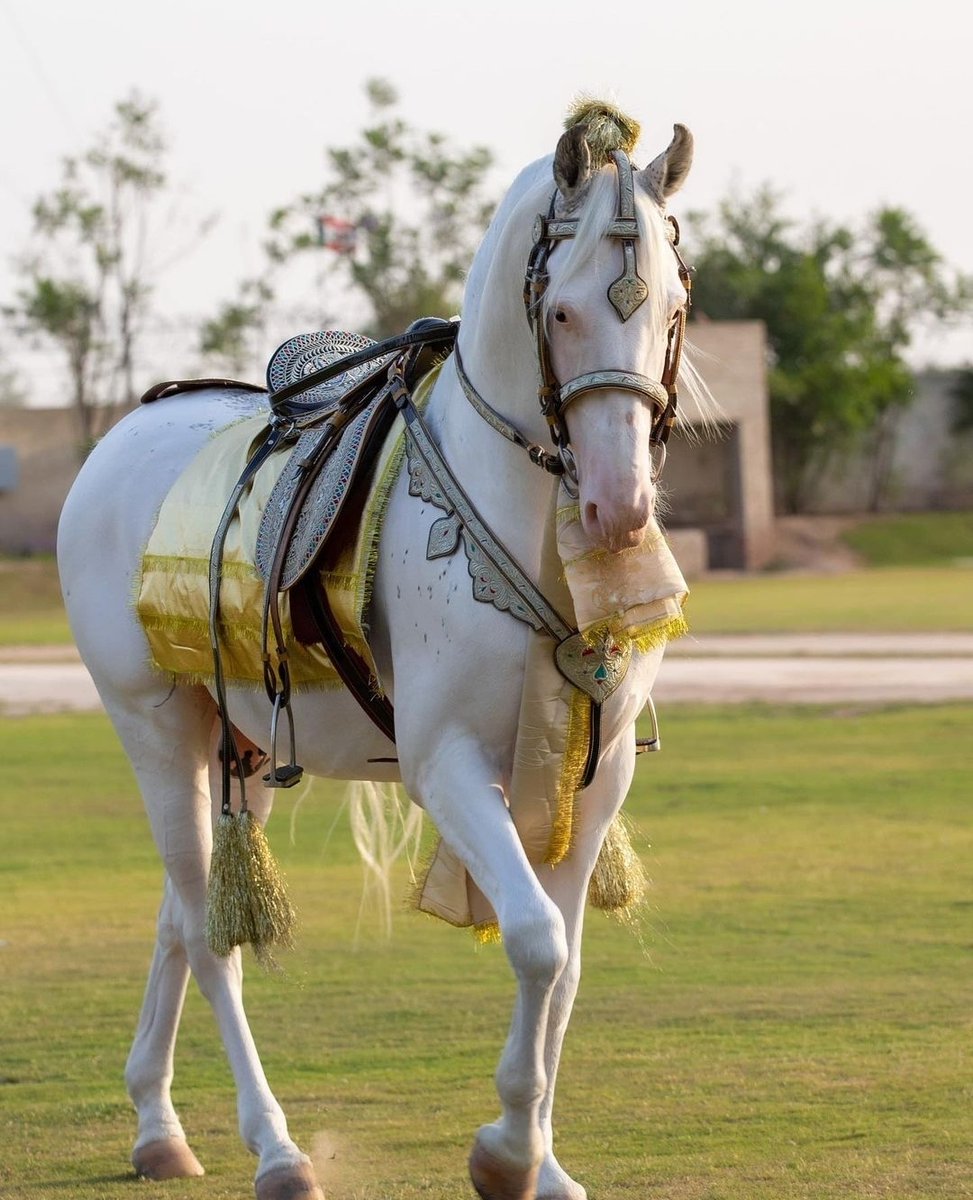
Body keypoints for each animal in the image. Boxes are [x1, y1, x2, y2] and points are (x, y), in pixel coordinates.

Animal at [56, 105, 705, 1200]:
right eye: (561, 313)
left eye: (668, 309)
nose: (617, 509)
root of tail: (122, 434)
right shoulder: (446, 766)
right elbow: (533, 942)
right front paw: (503, 1155)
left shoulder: (598, 771)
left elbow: (566, 965)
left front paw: (544, 1164)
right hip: (152, 722)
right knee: (207, 933)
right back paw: (274, 1149)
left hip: (243, 745)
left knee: (182, 915)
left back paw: (156, 1123)